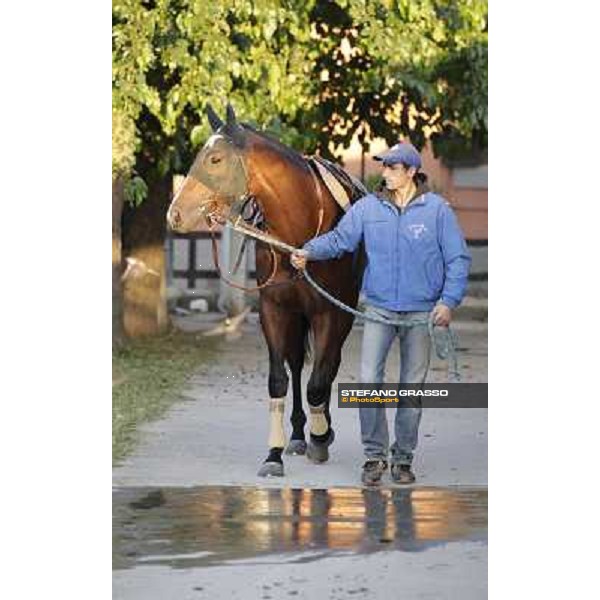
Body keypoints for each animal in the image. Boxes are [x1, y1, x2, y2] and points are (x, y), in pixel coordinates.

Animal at [168, 103, 366, 478]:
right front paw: (274, 453)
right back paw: (300, 435)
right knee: (298, 364)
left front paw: (322, 436)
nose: (175, 215)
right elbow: (279, 379)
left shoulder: (330, 313)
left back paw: (320, 430)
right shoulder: (274, 309)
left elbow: (320, 380)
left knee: (327, 366)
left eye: (215, 159)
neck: (298, 230)